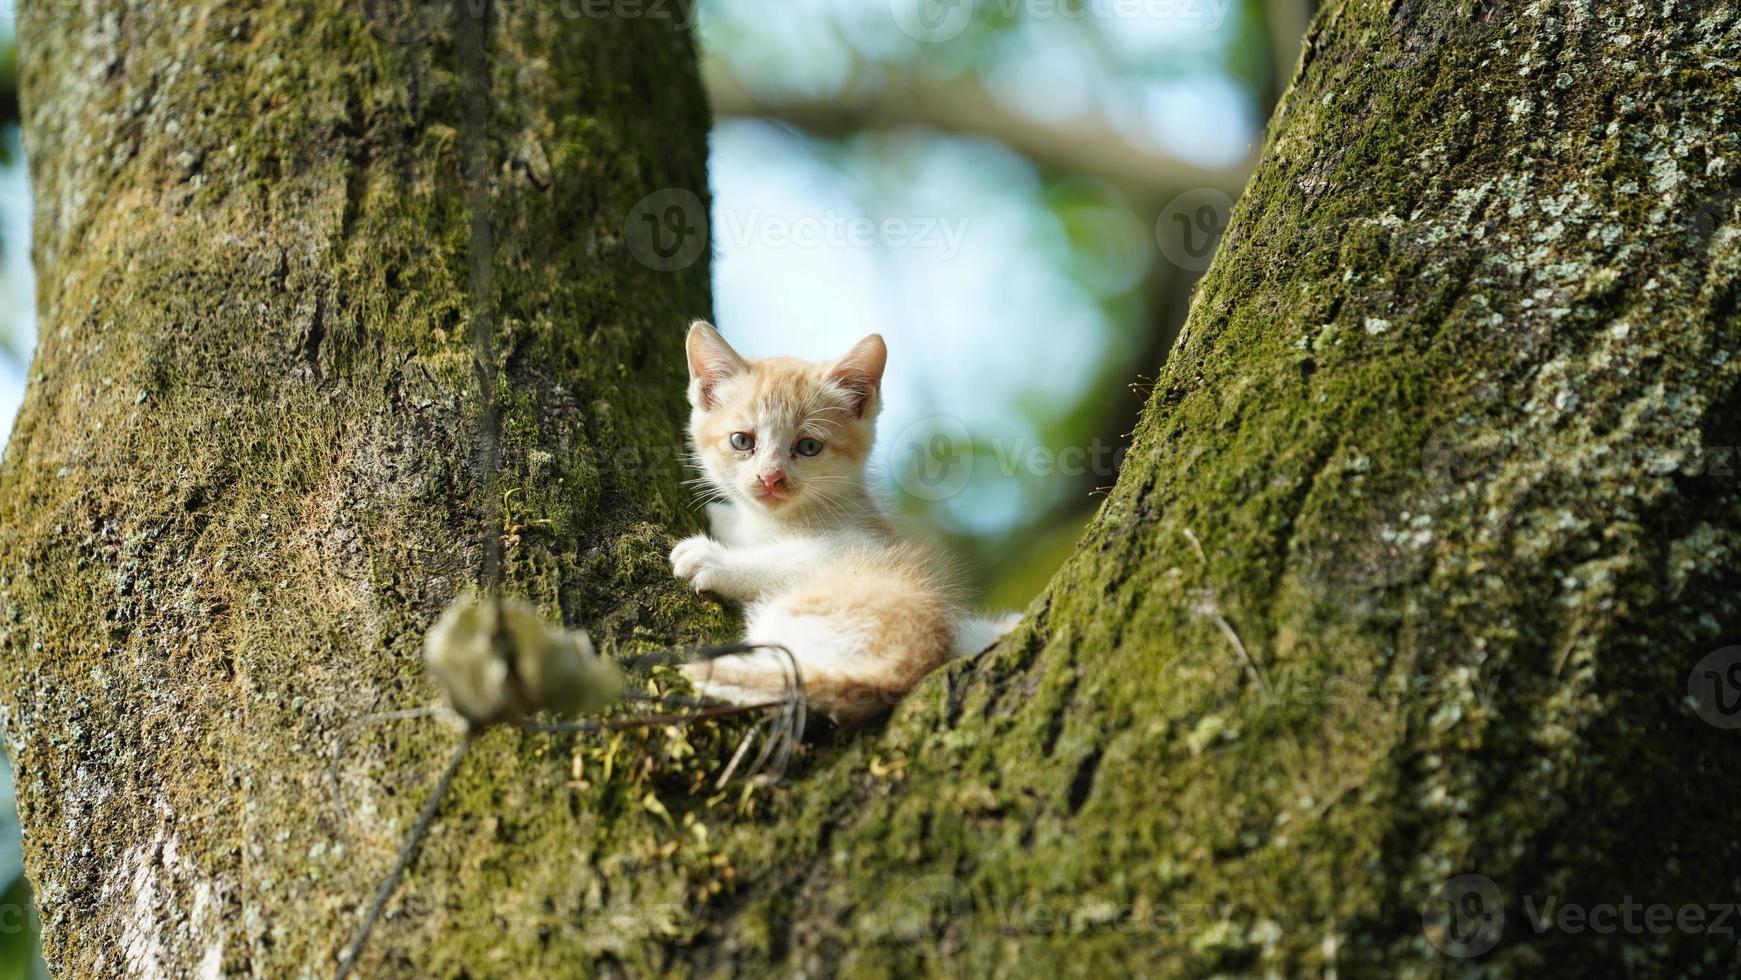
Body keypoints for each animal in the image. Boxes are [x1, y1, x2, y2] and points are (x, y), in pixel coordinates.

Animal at [668, 322, 1016, 720]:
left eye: (808, 447)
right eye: (742, 441)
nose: (770, 478)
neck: (782, 521)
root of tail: (900, 669)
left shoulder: (858, 542)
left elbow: (786, 558)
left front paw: (711, 558)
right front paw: (723, 517)